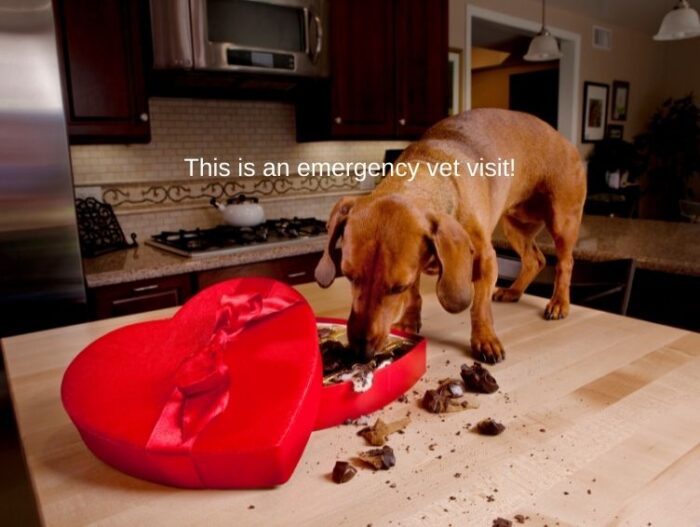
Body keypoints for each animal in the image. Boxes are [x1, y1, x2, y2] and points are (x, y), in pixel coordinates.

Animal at [316, 109, 584, 366]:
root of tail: (564, 140)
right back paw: (513, 291)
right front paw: (409, 322)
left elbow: (479, 306)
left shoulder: (486, 260)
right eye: (349, 276)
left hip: (562, 222)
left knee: (565, 263)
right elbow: (414, 297)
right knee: (534, 260)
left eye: (397, 287)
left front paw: (485, 339)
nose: (361, 353)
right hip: (515, 226)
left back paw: (559, 303)